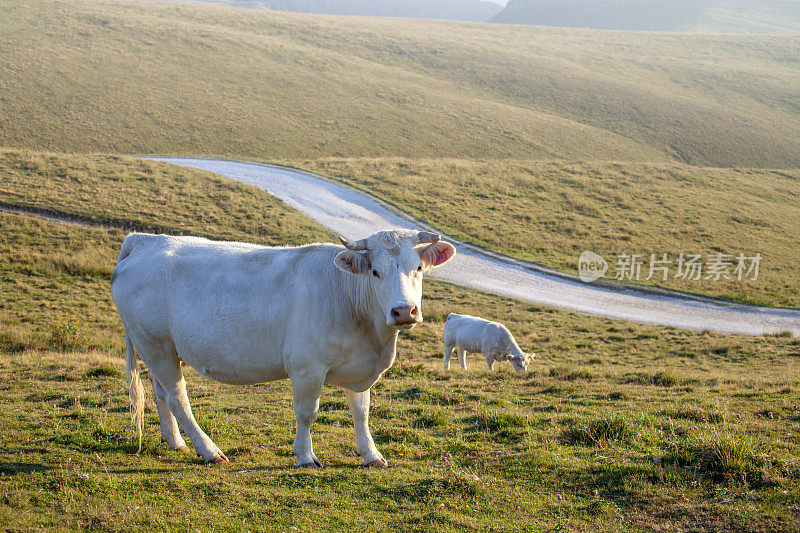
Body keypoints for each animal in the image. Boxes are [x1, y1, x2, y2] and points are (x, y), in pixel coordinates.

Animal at [109, 229, 454, 466]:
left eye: (418, 268)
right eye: (375, 271)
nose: (404, 311)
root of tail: (145, 240)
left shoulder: (359, 368)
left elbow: (361, 412)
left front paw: (371, 455)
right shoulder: (307, 367)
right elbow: (307, 413)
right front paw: (305, 456)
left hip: (161, 349)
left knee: (160, 392)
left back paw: (175, 441)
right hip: (155, 344)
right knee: (178, 397)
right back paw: (209, 450)